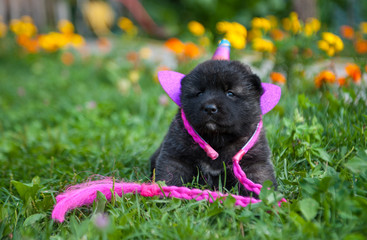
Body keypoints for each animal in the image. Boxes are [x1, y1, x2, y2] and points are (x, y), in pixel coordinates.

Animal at [151, 60, 278, 197]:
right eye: (200, 93)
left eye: (230, 93)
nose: (209, 108)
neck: (216, 139)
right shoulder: (176, 157)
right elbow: (169, 175)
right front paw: (165, 195)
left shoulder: (254, 162)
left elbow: (260, 179)